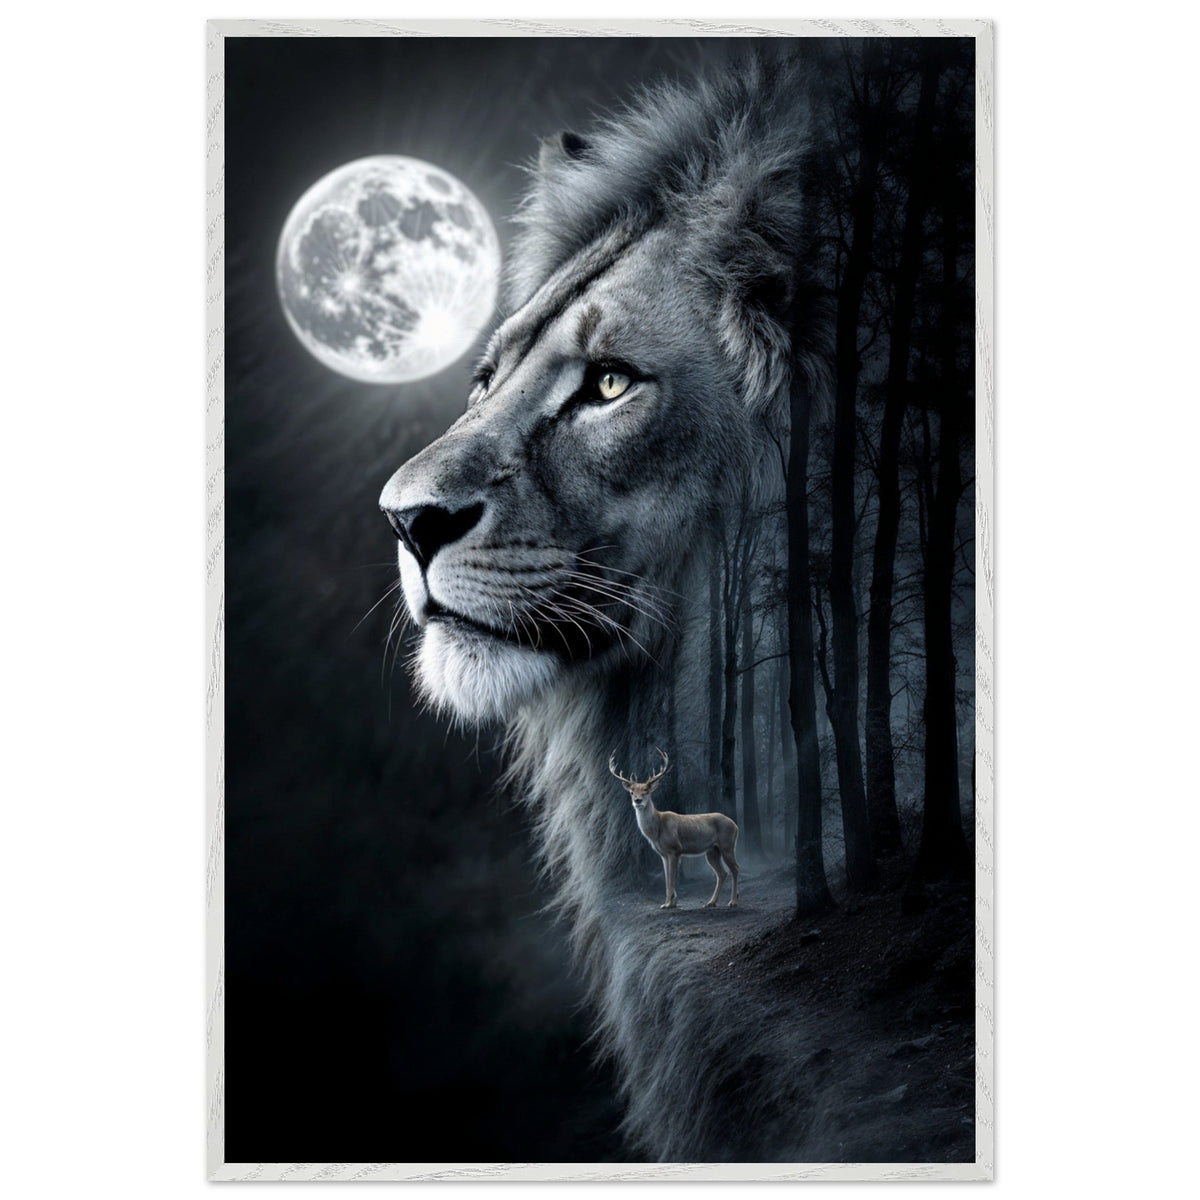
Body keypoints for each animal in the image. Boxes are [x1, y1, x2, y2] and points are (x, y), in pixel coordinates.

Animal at [609, 749, 740, 909]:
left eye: (646, 791)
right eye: (632, 792)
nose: (637, 800)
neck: (656, 830)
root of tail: (735, 825)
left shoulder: (675, 849)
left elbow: (671, 879)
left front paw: (668, 904)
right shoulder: (663, 854)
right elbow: (666, 879)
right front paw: (670, 902)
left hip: (727, 844)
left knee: (735, 868)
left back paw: (733, 901)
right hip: (712, 851)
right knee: (722, 873)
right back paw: (711, 902)